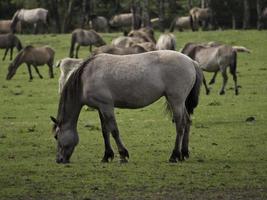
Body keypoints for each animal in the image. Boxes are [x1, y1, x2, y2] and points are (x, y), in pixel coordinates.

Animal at [50, 51, 203, 164]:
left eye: (57, 136)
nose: (59, 160)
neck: (86, 77)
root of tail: (192, 62)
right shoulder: (100, 108)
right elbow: (105, 131)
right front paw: (107, 156)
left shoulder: (107, 106)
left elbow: (114, 130)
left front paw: (123, 155)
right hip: (180, 102)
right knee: (187, 122)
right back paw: (184, 153)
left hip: (176, 100)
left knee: (180, 125)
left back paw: (174, 155)